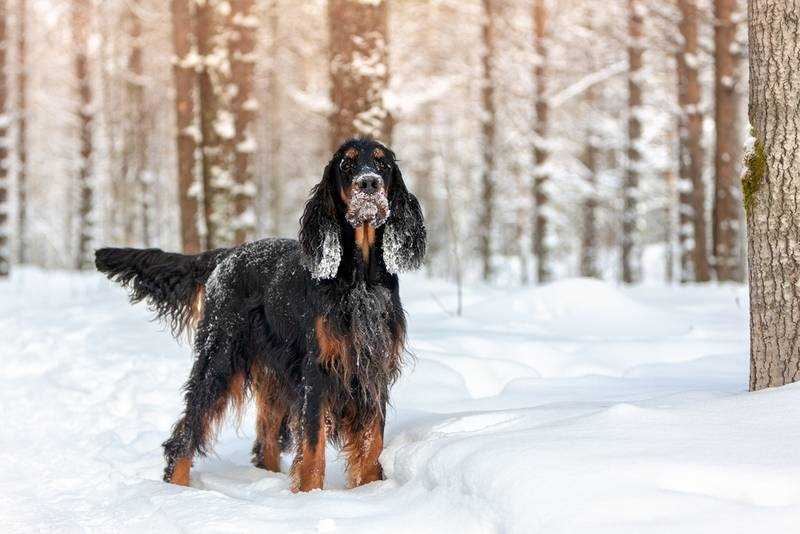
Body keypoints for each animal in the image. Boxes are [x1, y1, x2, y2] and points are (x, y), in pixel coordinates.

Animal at [95, 139, 424, 494]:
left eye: (382, 164)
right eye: (347, 165)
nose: (369, 184)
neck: (359, 278)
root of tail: (226, 256)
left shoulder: (373, 370)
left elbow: (372, 444)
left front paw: (369, 489)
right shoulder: (318, 369)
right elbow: (313, 449)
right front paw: (309, 495)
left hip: (273, 374)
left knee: (264, 441)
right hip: (220, 358)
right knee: (185, 435)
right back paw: (177, 490)